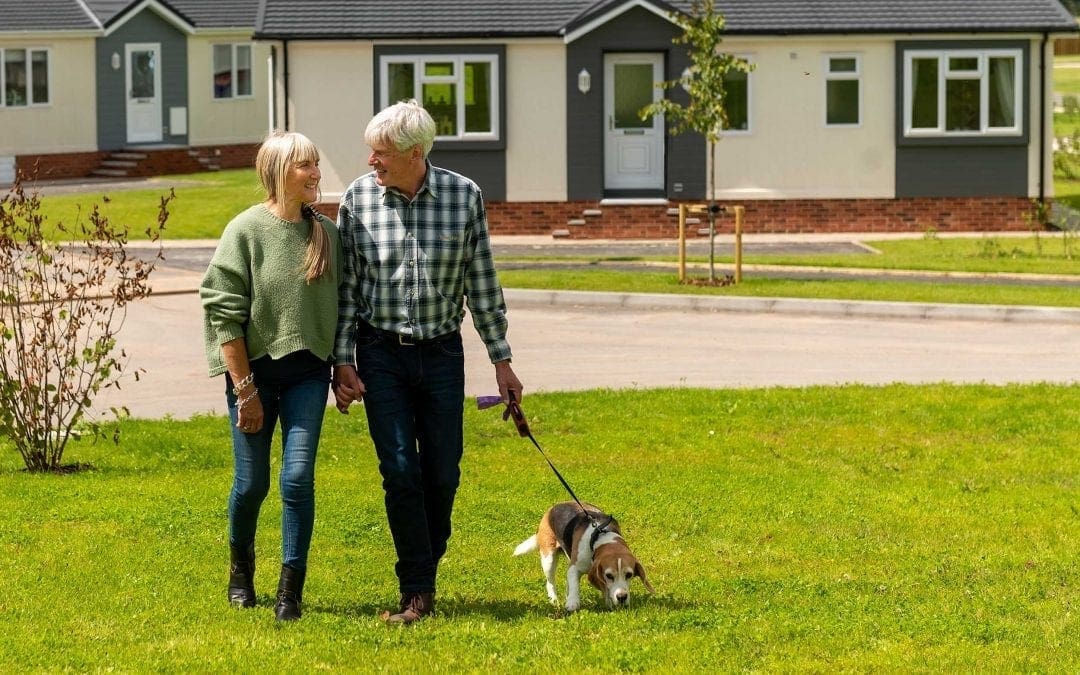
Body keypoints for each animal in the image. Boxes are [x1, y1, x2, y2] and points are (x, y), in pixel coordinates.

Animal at [511, 501, 652, 609]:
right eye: (609, 575)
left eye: (629, 575)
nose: (622, 597)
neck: (600, 536)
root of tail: (553, 507)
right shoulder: (574, 568)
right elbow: (575, 586)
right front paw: (572, 603)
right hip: (548, 558)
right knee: (550, 582)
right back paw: (554, 600)